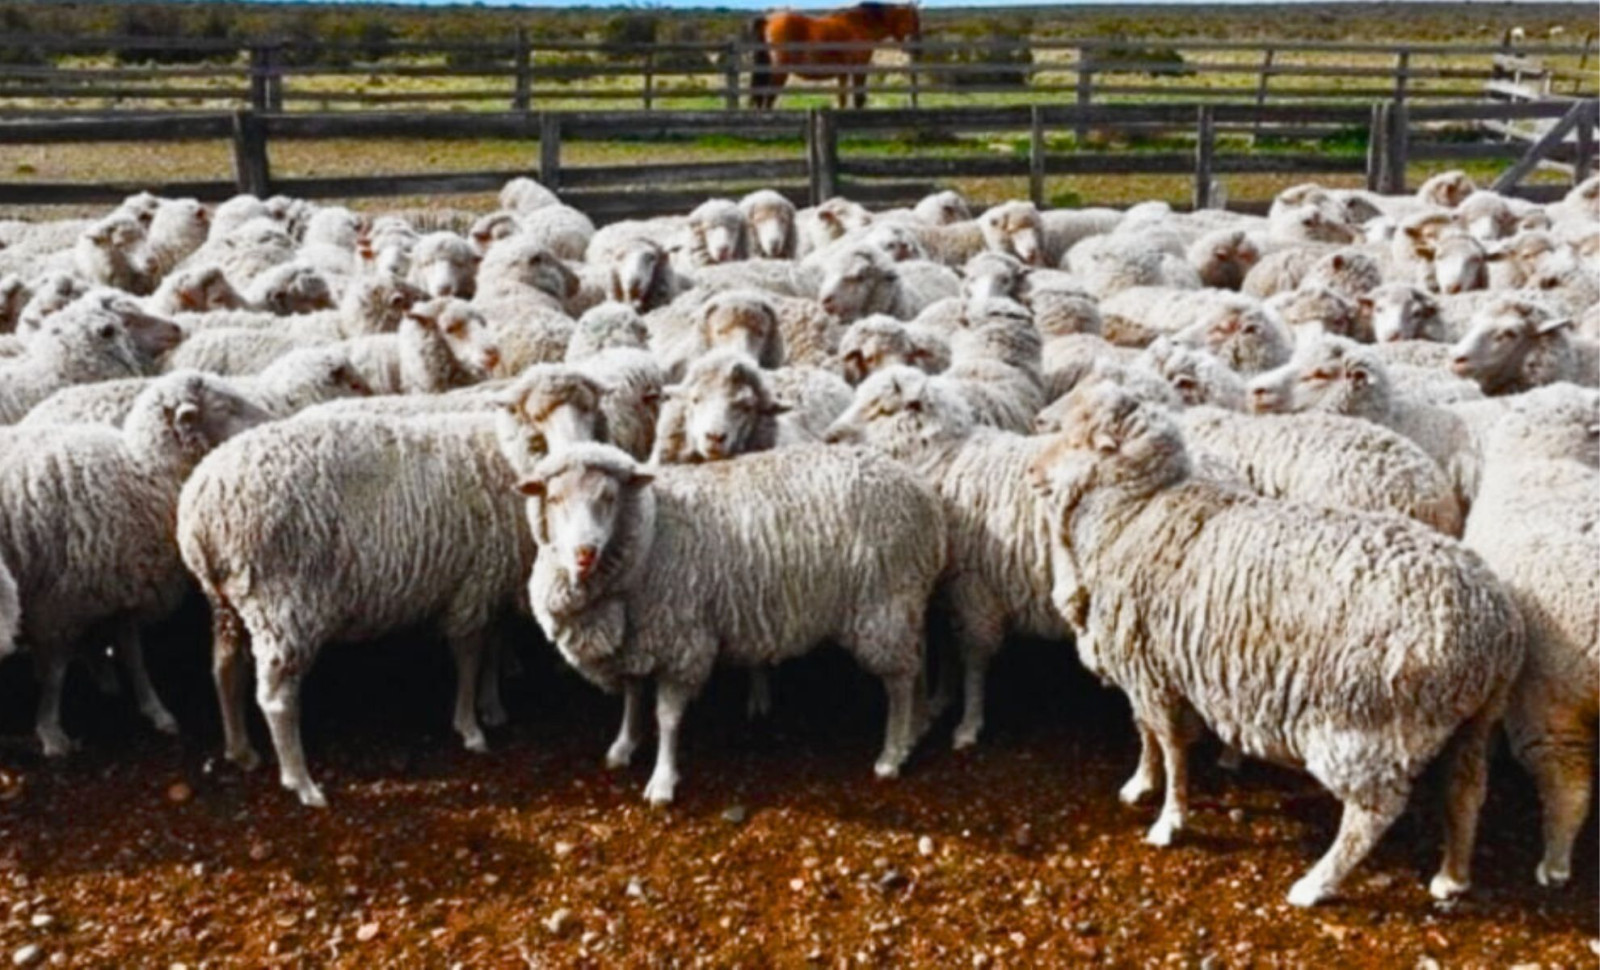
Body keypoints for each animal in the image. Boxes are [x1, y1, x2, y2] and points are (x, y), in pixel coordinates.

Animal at [0, 371, 270, 754]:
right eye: (226, 407)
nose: (275, 422)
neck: (144, 474)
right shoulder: (61, 603)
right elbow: (56, 673)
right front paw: (51, 732)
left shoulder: (121, 587)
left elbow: (132, 654)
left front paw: (155, 710)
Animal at [517, 442, 943, 804]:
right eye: (553, 499)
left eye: (608, 497)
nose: (584, 553)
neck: (652, 539)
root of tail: (923, 493)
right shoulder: (637, 642)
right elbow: (633, 696)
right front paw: (624, 745)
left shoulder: (683, 642)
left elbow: (667, 717)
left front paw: (663, 780)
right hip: (905, 601)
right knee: (918, 660)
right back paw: (915, 729)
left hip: (883, 606)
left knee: (899, 681)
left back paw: (891, 754)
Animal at [824, 367, 1074, 748]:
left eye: (882, 410)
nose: (828, 437)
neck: (946, 458)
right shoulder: (946, 589)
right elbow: (946, 645)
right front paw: (940, 699)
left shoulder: (974, 588)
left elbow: (973, 657)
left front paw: (968, 725)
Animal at [1026, 382, 1523, 906]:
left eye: (1077, 440)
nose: (1032, 473)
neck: (1132, 514)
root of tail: (1496, 626)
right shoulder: (1148, 667)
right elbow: (1147, 735)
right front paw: (1142, 783)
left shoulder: (1151, 671)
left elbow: (1170, 745)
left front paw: (1169, 821)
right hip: (1474, 720)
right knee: (1467, 790)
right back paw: (1452, 876)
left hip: (1369, 723)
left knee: (1372, 813)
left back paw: (1315, 884)